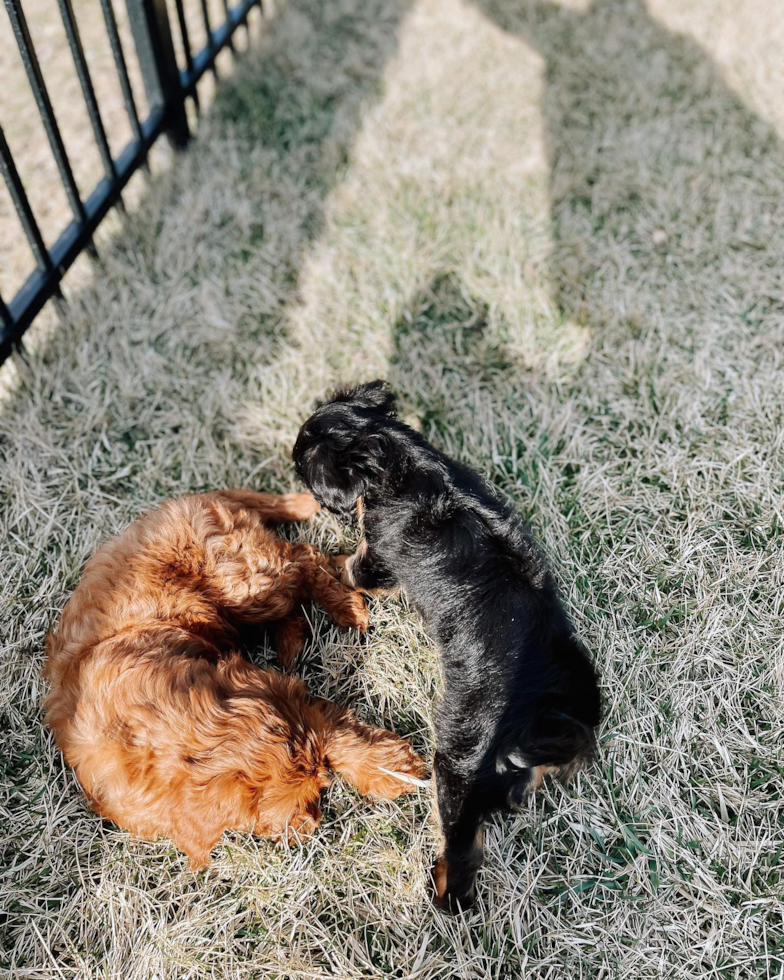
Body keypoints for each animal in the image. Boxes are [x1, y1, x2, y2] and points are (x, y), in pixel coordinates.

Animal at [44, 490, 422, 864]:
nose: (310, 827)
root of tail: (191, 499)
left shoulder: (280, 696)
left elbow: (338, 733)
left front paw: (392, 769)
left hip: (246, 580)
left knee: (303, 560)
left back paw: (347, 608)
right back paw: (295, 638)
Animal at [292, 378, 600, 908]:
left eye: (304, 474)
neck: (396, 457)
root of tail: (545, 715)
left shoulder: (376, 557)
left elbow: (346, 565)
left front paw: (314, 556)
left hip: (456, 766)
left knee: (463, 849)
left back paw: (441, 896)